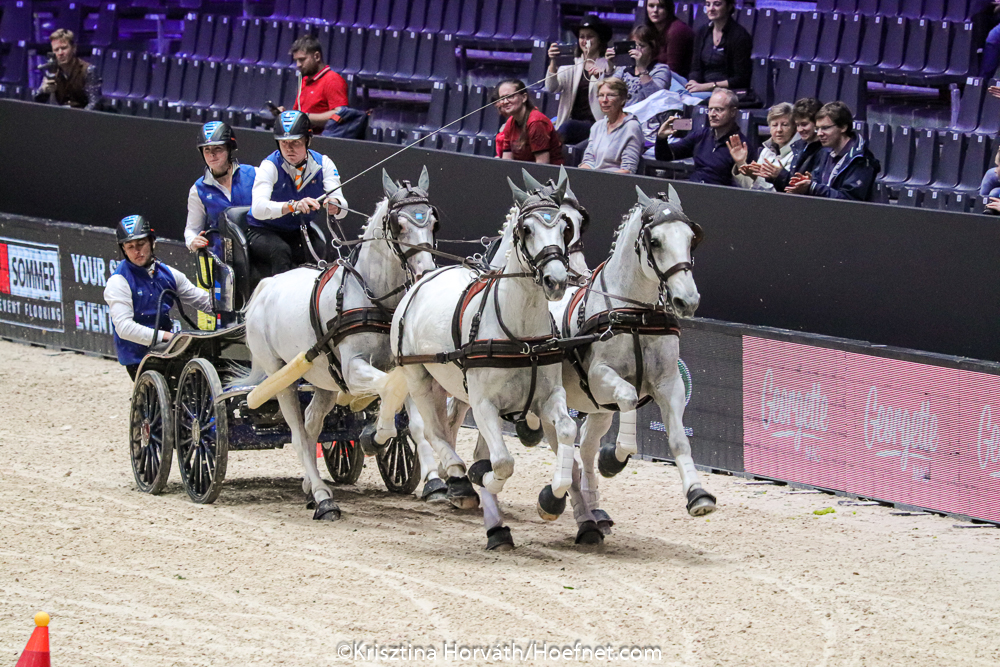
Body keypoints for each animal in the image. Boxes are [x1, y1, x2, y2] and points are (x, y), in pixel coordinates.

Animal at [241, 168, 438, 521]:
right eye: (398, 225)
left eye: (432, 221)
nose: (425, 272)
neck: (375, 299)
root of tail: (265, 287)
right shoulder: (353, 367)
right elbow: (387, 389)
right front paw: (375, 437)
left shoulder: (400, 368)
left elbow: (415, 423)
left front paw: (434, 481)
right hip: (282, 377)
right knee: (296, 433)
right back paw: (323, 499)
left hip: (323, 381)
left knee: (310, 425)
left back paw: (311, 485)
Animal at [384, 176, 576, 550]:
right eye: (526, 229)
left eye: (565, 227)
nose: (556, 280)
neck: (520, 334)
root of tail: (423, 279)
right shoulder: (484, 404)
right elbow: (502, 462)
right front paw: (481, 477)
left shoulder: (549, 397)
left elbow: (567, 429)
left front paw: (552, 498)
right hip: (418, 376)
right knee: (432, 430)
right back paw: (458, 482)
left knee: (446, 427)